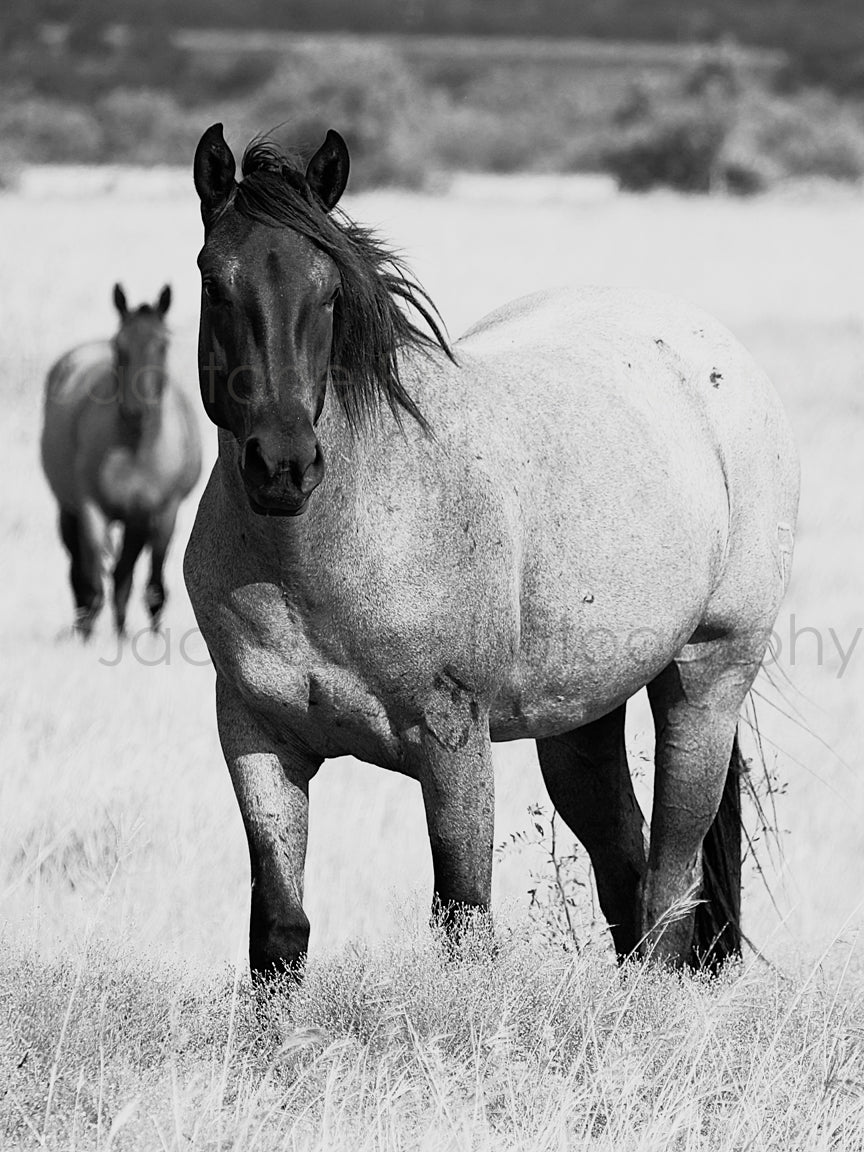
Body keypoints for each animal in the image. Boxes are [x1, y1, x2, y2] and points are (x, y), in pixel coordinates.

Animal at [41, 283, 202, 638]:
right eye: (119, 346)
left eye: (163, 344)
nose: (135, 410)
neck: (137, 447)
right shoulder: (90, 509)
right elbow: (93, 582)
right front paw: (89, 639)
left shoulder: (158, 513)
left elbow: (149, 587)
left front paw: (142, 641)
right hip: (68, 511)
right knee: (82, 575)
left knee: (123, 577)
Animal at [185, 123, 799, 977]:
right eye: (215, 283)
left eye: (329, 292)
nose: (282, 465)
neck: (319, 555)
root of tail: (716, 357)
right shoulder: (255, 740)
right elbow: (278, 932)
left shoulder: (452, 743)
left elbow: (463, 924)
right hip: (580, 722)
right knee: (628, 880)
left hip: (705, 685)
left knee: (671, 893)